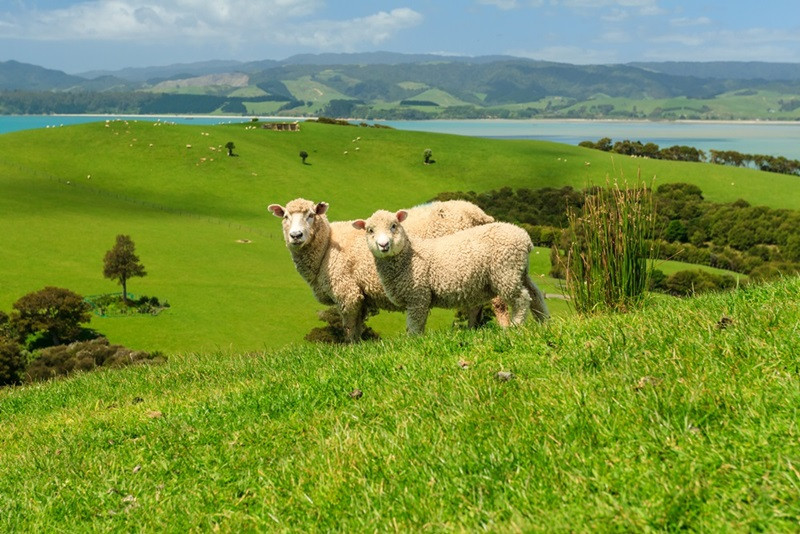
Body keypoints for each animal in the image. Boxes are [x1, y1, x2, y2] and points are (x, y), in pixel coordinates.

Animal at [268, 198, 500, 344]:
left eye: (310, 215)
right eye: (285, 216)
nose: (296, 236)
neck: (327, 245)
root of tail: (479, 214)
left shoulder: (347, 291)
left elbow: (349, 328)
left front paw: (349, 350)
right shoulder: (360, 296)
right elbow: (357, 327)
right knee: (475, 304)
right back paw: (473, 330)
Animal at [356, 209, 552, 336]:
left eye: (394, 226)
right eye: (370, 230)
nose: (383, 245)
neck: (408, 256)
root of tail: (525, 238)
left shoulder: (418, 296)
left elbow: (414, 324)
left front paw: (413, 342)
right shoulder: (419, 298)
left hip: (506, 271)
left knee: (521, 299)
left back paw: (515, 326)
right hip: (520, 271)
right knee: (535, 296)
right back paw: (544, 323)